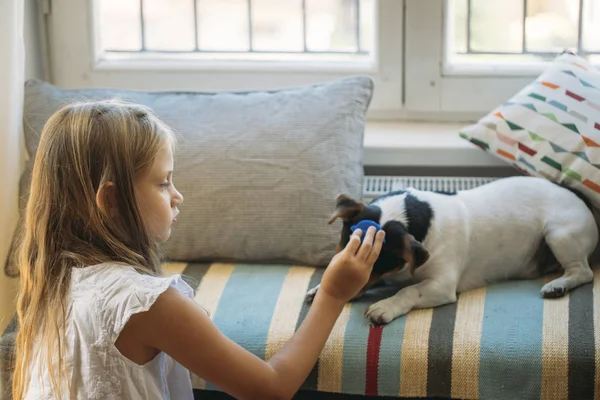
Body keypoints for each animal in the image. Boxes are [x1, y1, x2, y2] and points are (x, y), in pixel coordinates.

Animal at [308, 177, 596, 324]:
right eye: (347, 249)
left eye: (373, 262)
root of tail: (577, 194)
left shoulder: (441, 284)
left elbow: (408, 290)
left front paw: (386, 306)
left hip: (559, 234)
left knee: (583, 271)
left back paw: (558, 285)